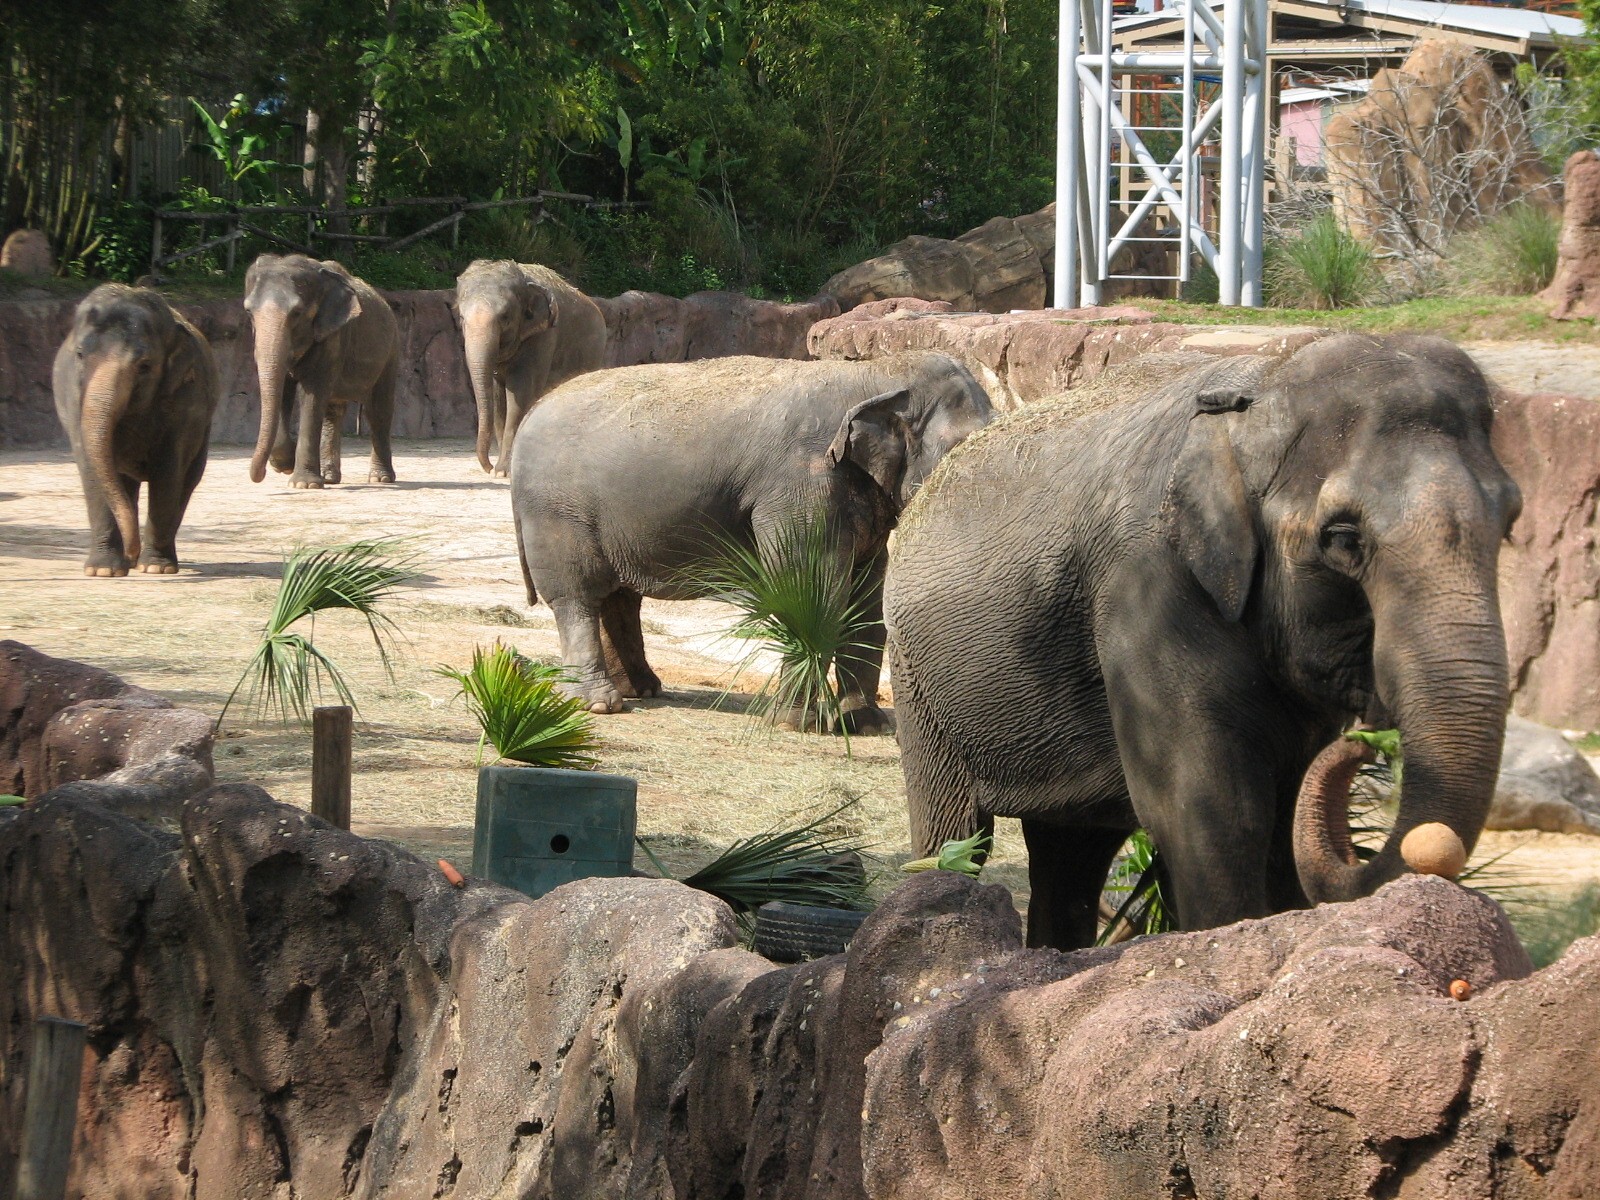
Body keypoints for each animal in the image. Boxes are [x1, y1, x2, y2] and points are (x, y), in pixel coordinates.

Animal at [52, 284, 219, 576]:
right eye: (80, 355)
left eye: (145, 365)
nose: (133, 551)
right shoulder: (73, 395)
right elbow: (91, 468)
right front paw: (103, 571)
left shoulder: (187, 401)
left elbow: (168, 471)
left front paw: (155, 568)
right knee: (123, 483)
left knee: (187, 480)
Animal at [243, 254, 399, 488]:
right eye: (249, 312)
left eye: (297, 313)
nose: (260, 474)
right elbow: (285, 392)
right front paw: (285, 465)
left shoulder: (333, 336)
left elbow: (312, 395)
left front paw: (303, 484)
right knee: (333, 411)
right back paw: (329, 477)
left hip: (390, 352)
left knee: (378, 410)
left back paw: (381, 479)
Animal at [455, 259, 608, 477]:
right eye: (461, 317)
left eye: (505, 316)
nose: (488, 467)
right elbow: (499, 399)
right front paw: (501, 471)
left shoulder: (543, 336)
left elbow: (520, 394)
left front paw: (503, 472)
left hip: (591, 350)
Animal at [511, 351, 993, 723]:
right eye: (963, 449)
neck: (877, 371)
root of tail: (530, 413)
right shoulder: (801, 483)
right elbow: (809, 589)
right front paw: (796, 722)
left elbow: (865, 599)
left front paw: (865, 724)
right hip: (557, 511)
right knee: (578, 596)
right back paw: (599, 704)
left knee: (619, 598)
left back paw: (641, 689)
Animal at [884, 335, 1521, 950]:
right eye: (1343, 539)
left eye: (1511, 521)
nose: (1370, 738)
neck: (1261, 385)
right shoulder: (1146, 587)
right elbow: (1212, 811)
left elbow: (1282, 815)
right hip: (919, 690)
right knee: (959, 835)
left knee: (1072, 851)